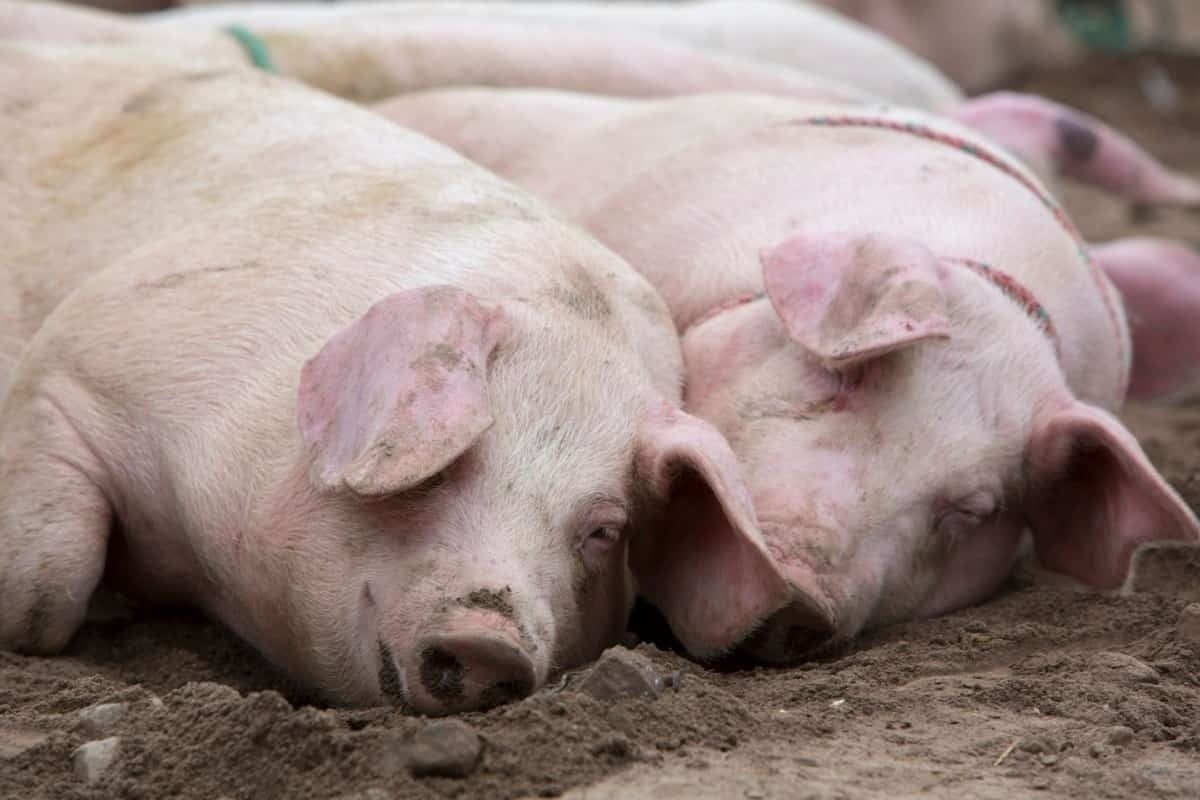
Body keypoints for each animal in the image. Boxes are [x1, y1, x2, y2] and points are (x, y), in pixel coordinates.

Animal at [0, 43, 786, 712]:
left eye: (603, 528)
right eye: (445, 468)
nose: (488, 644)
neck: (202, 569)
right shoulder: (74, 363)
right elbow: (43, 591)